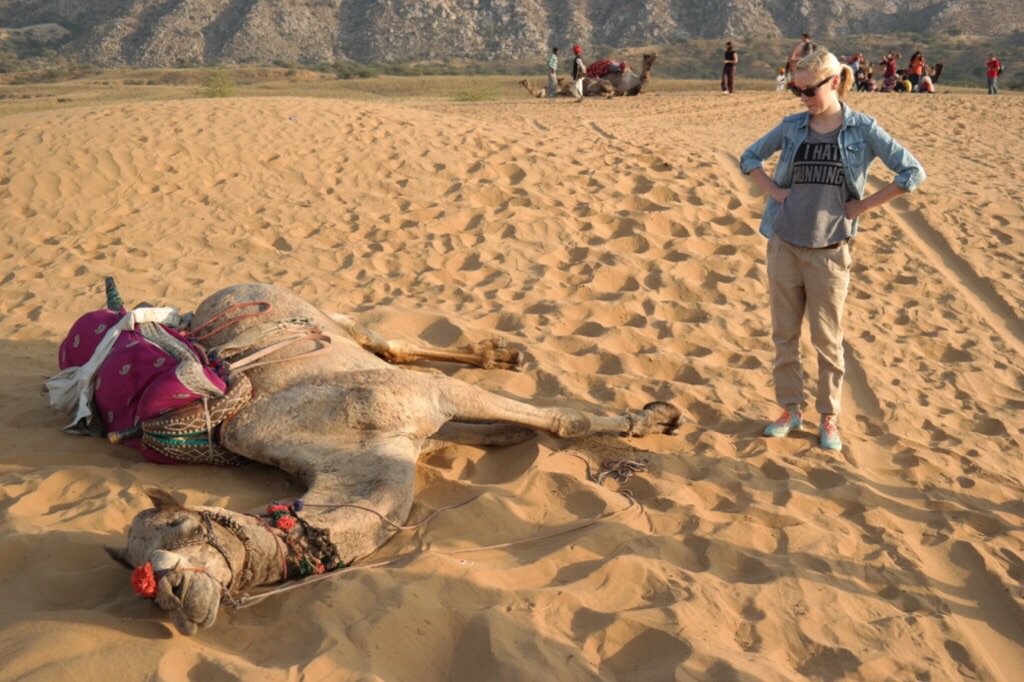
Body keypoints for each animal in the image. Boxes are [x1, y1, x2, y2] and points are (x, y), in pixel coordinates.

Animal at [60, 282, 681, 635]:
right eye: (139, 570)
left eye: (182, 526)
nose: (177, 598)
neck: (349, 456)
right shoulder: (421, 435)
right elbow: (496, 433)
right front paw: (512, 433)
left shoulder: (429, 396)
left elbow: (562, 420)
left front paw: (651, 418)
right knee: (393, 348)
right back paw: (496, 355)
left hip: (327, 314)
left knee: (386, 341)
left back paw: (502, 355)